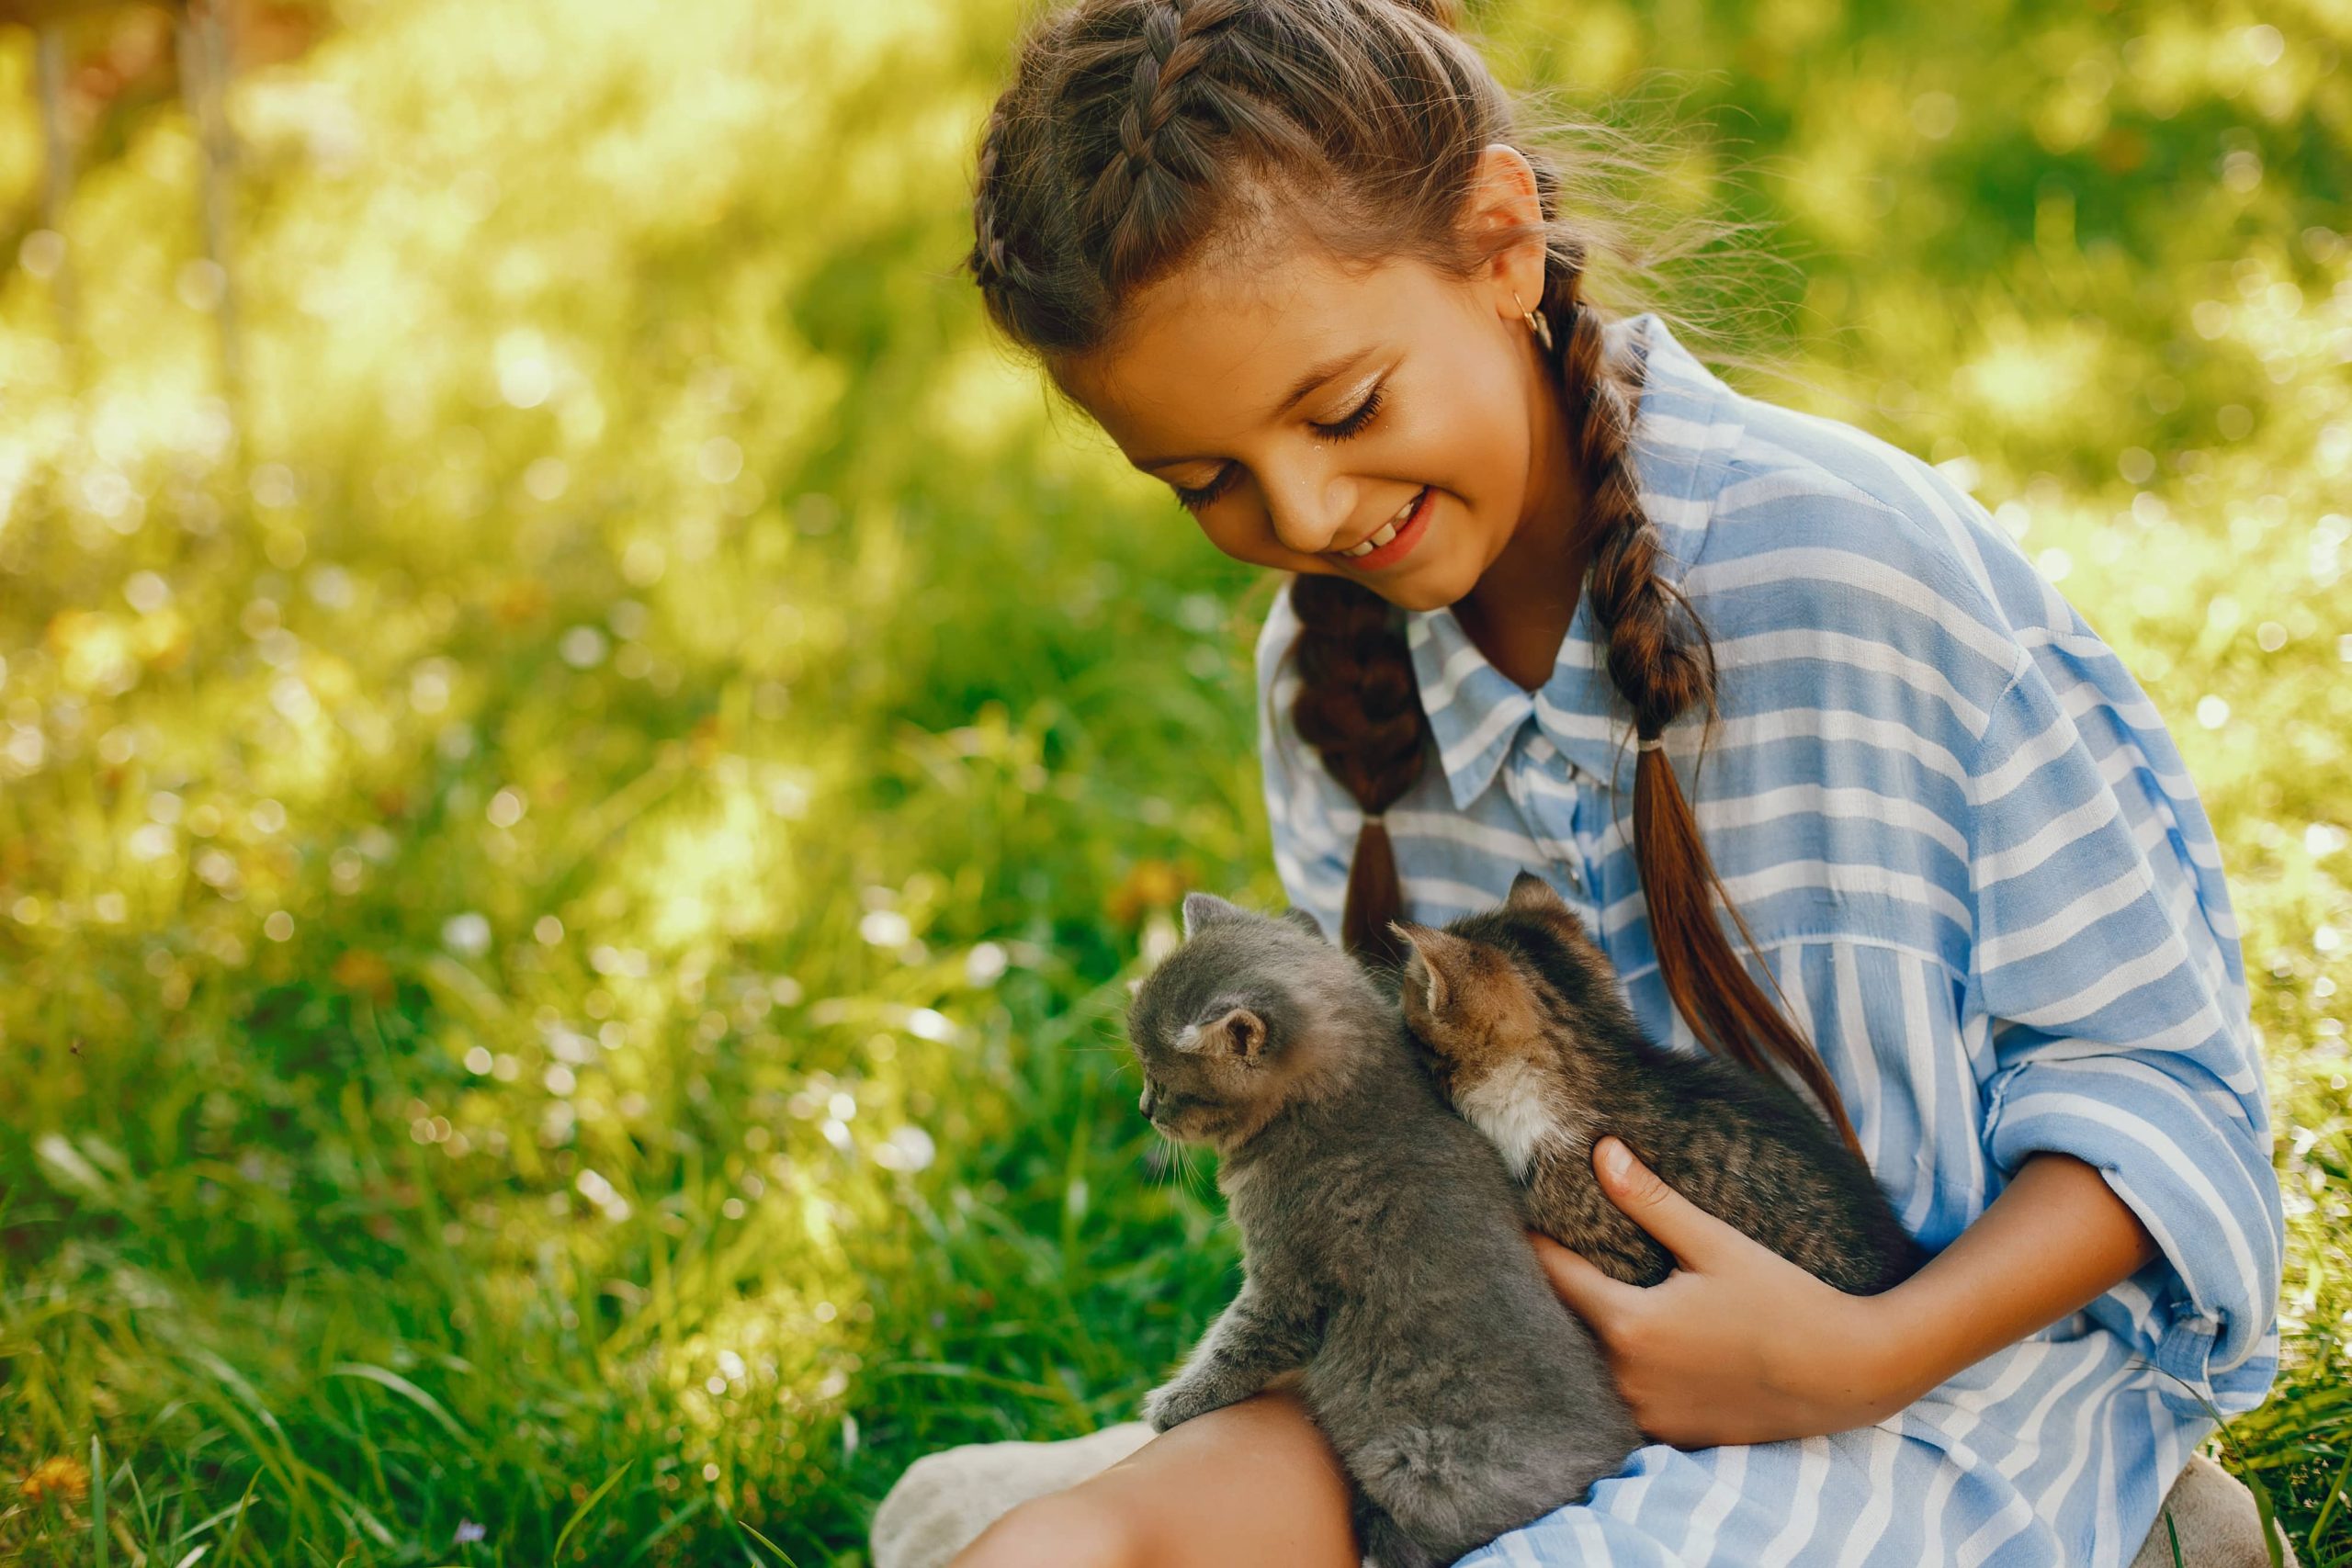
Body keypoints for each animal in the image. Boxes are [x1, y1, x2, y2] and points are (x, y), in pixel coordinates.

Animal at [1119, 893, 1636, 1568]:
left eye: (1163, 1081)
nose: (1144, 1109)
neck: (1342, 1103)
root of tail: (1605, 1465)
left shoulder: (1287, 1281)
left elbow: (1237, 1343)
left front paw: (1174, 1401)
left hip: (1418, 1465)